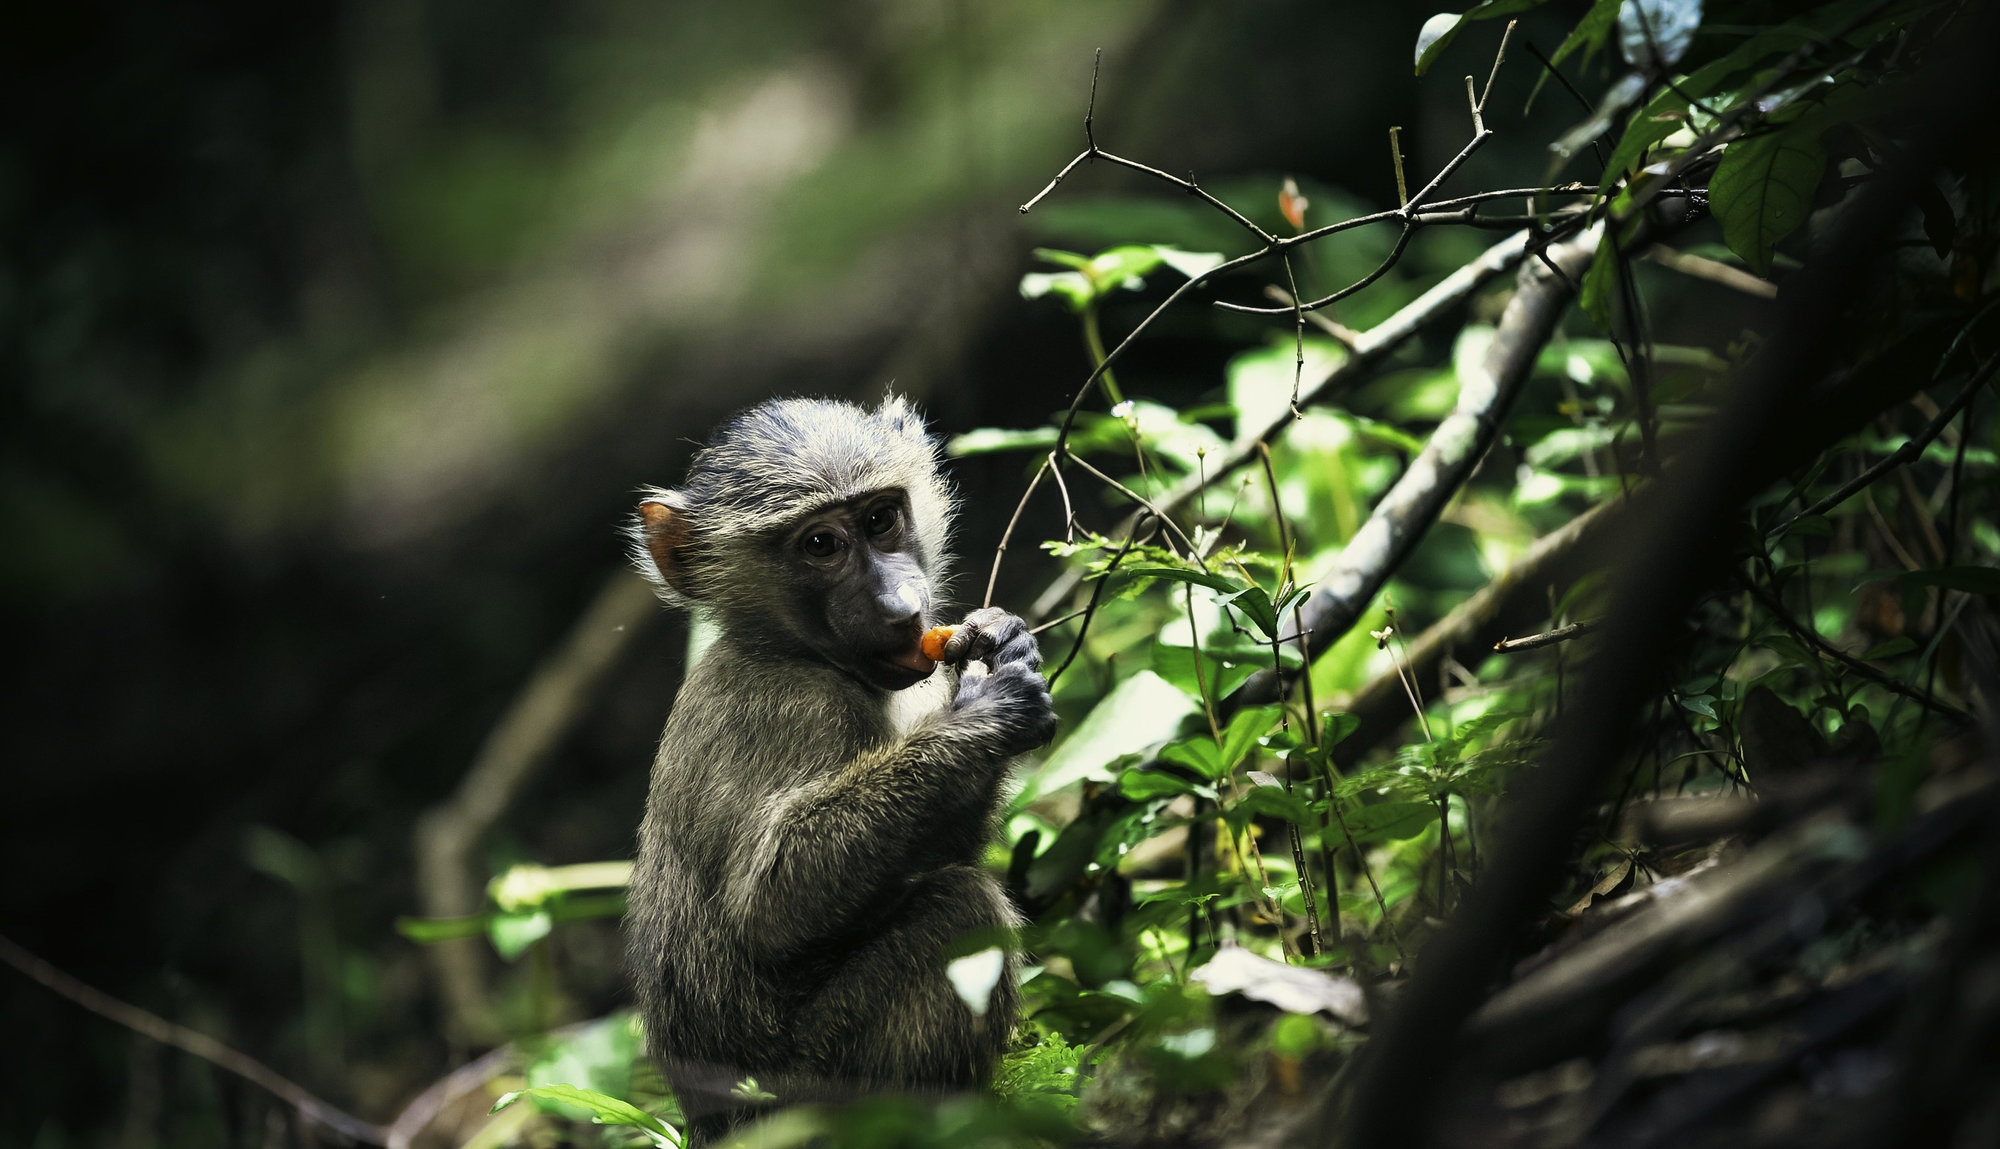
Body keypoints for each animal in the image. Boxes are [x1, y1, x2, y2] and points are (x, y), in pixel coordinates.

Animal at [622, 395, 1056, 1145]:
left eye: (880, 519)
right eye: (820, 545)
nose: (901, 609)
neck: (792, 649)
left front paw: (1003, 641)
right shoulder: (789, 709)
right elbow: (769, 905)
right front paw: (988, 711)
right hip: (814, 1089)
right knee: (960, 905)